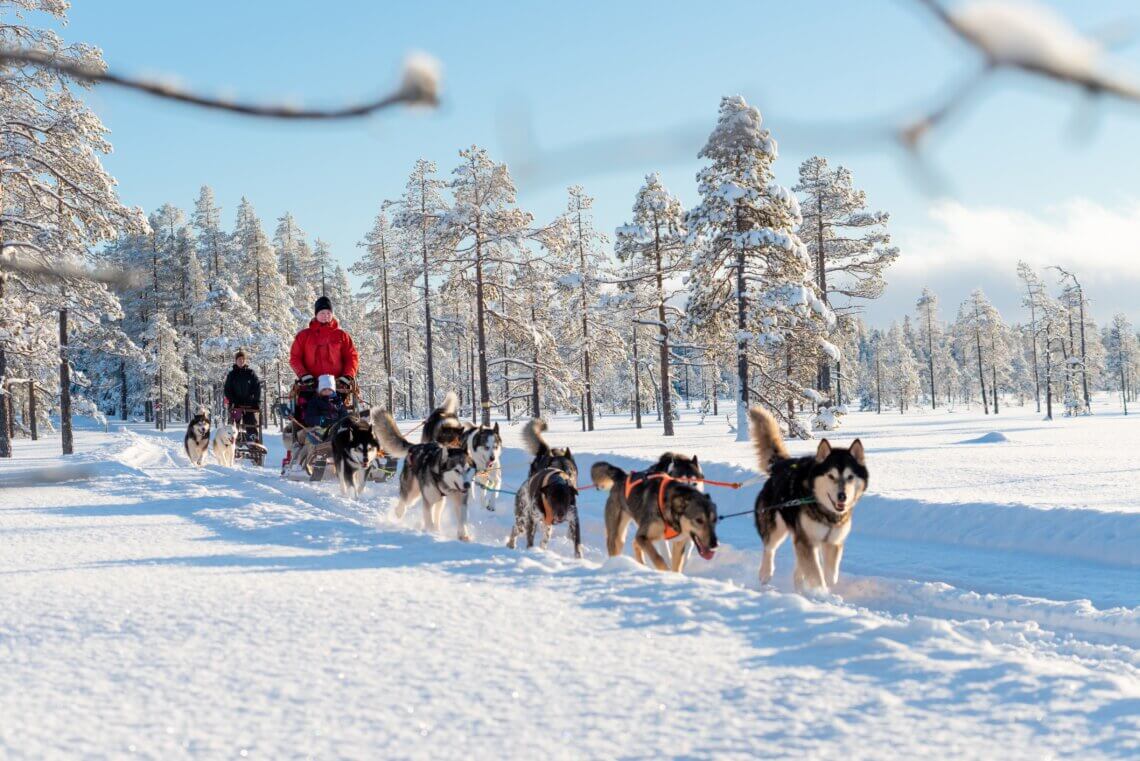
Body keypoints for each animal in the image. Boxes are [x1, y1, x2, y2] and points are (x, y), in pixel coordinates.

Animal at [371, 410, 474, 539]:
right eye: (457, 470)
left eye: (468, 469)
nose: (467, 485)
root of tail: (415, 446)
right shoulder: (428, 501)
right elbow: (428, 519)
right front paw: (431, 532)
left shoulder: (460, 500)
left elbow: (462, 519)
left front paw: (463, 535)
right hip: (413, 493)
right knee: (403, 503)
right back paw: (398, 513)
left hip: (439, 500)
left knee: (437, 513)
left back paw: (438, 528)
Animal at [752, 407, 866, 592]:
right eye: (831, 476)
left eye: (850, 476)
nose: (842, 496)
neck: (826, 512)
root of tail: (780, 465)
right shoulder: (806, 540)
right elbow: (817, 575)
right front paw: (822, 593)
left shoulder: (832, 543)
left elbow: (830, 575)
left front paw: (827, 591)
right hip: (777, 527)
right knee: (769, 548)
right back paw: (765, 573)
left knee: (800, 565)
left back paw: (799, 585)